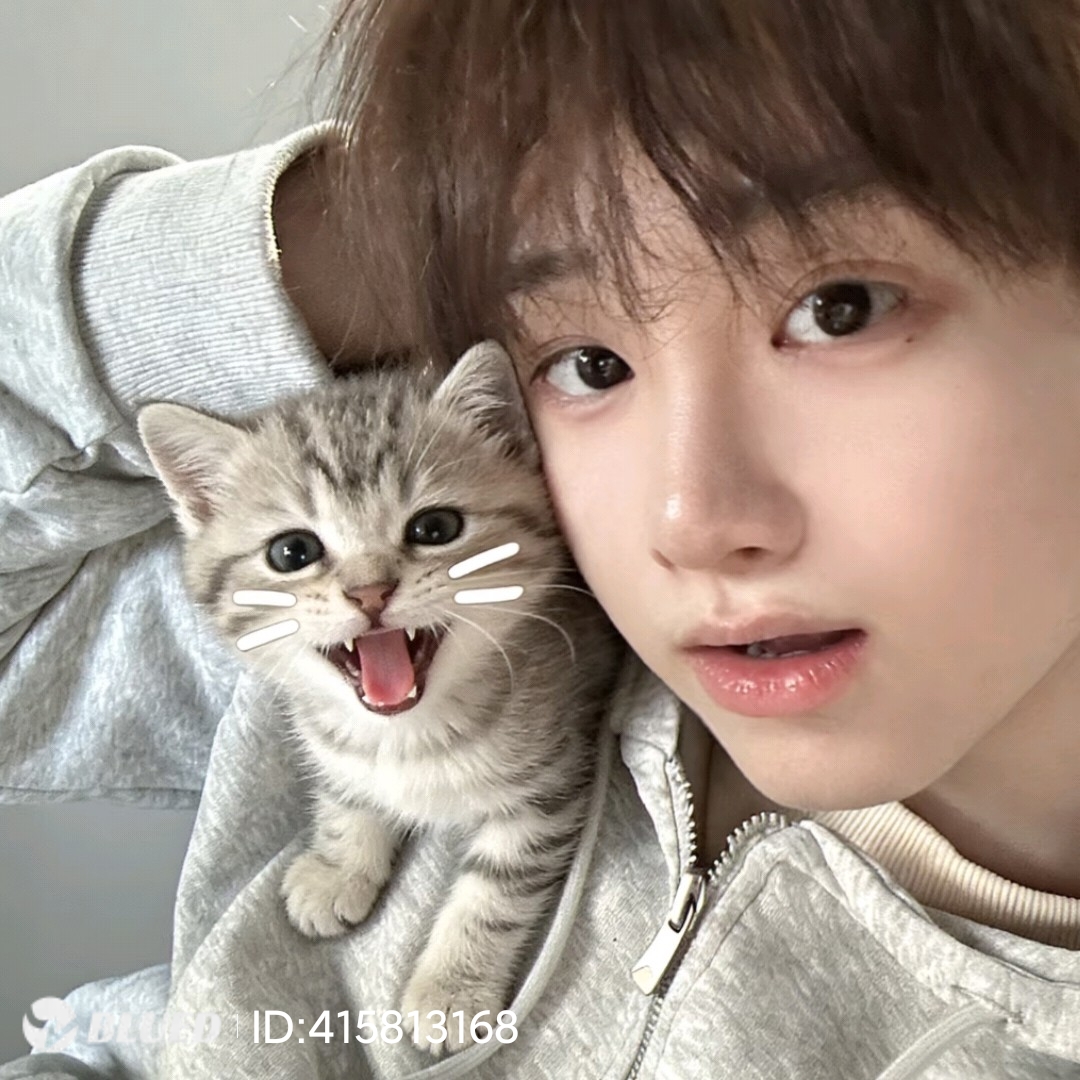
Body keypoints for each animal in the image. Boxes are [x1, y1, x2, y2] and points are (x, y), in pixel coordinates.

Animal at [135, 340, 625, 1056]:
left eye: (436, 526)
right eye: (292, 551)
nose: (370, 592)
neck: (409, 733)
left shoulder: (552, 781)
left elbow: (495, 890)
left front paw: (450, 988)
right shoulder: (335, 742)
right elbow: (347, 790)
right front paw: (340, 865)